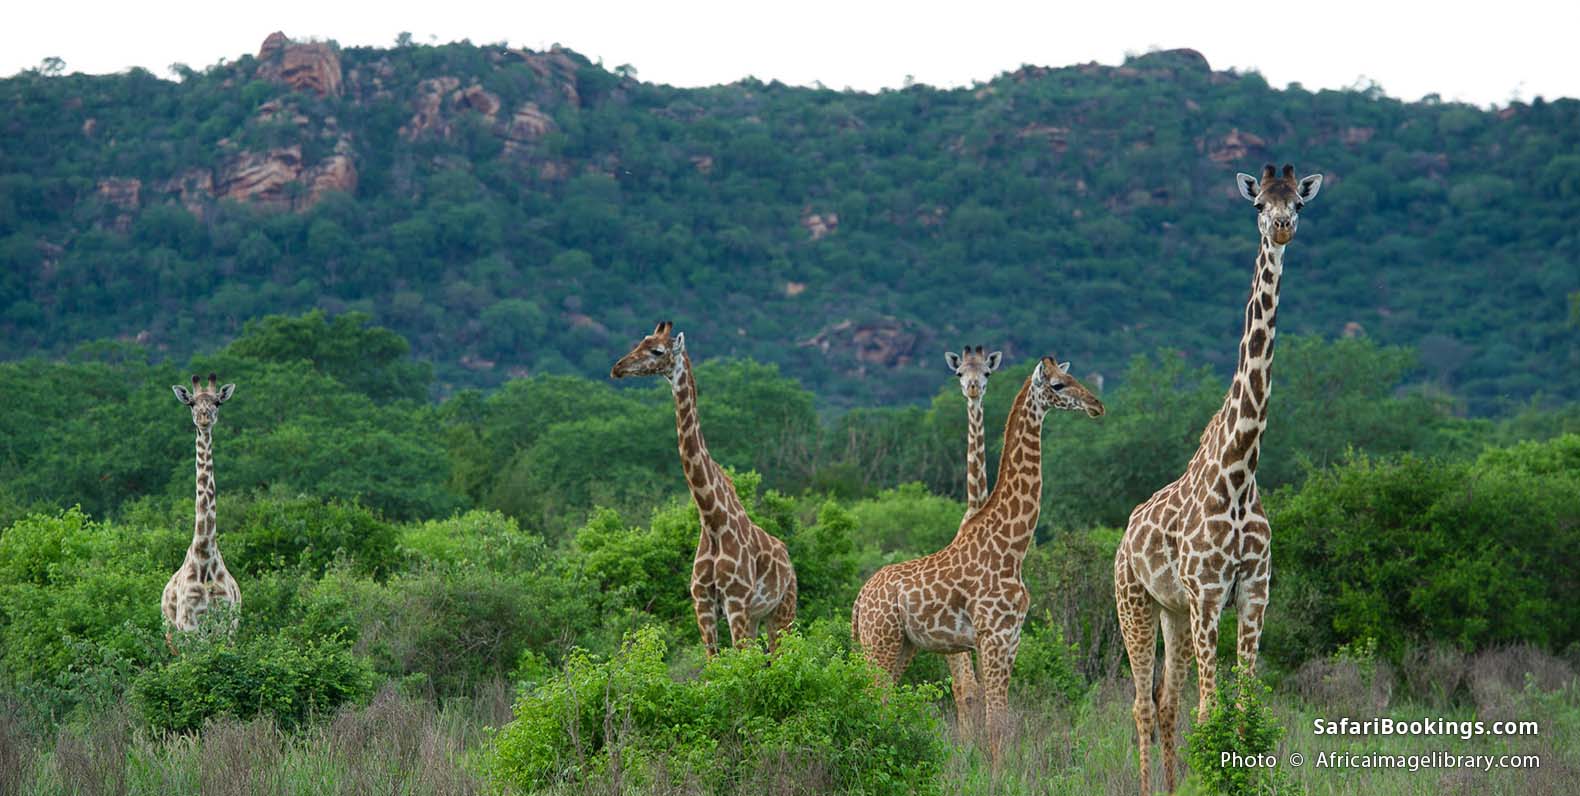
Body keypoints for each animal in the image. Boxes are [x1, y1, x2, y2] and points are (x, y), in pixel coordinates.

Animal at [162, 373, 241, 651]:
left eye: (217, 402)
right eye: (192, 403)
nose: (204, 418)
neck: (204, 554)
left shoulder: (227, 625)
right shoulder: (188, 626)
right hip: (170, 634)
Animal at [611, 321, 797, 656]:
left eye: (656, 350)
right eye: (640, 342)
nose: (618, 368)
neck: (711, 521)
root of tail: (789, 560)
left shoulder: (735, 601)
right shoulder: (704, 605)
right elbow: (715, 664)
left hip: (783, 610)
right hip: (756, 616)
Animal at [852, 356, 1104, 761]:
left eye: (1072, 376)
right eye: (1059, 385)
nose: (1097, 405)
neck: (1013, 547)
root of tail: (860, 601)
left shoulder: (1010, 637)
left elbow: (1000, 719)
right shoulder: (994, 635)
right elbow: (995, 723)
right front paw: (997, 772)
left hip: (901, 645)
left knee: (881, 701)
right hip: (880, 642)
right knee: (873, 699)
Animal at [1115, 164, 1322, 794]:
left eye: (1297, 203)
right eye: (1258, 204)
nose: (1281, 228)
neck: (1240, 468)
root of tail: (1123, 536)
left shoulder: (1253, 591)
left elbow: (1245, 709)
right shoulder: (1209, 592)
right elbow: (1211, 711)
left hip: (1174, 613)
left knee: (1165, 701)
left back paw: (1171, 785)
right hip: (1134, 603)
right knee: (1141, 703)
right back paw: (1149, 786)